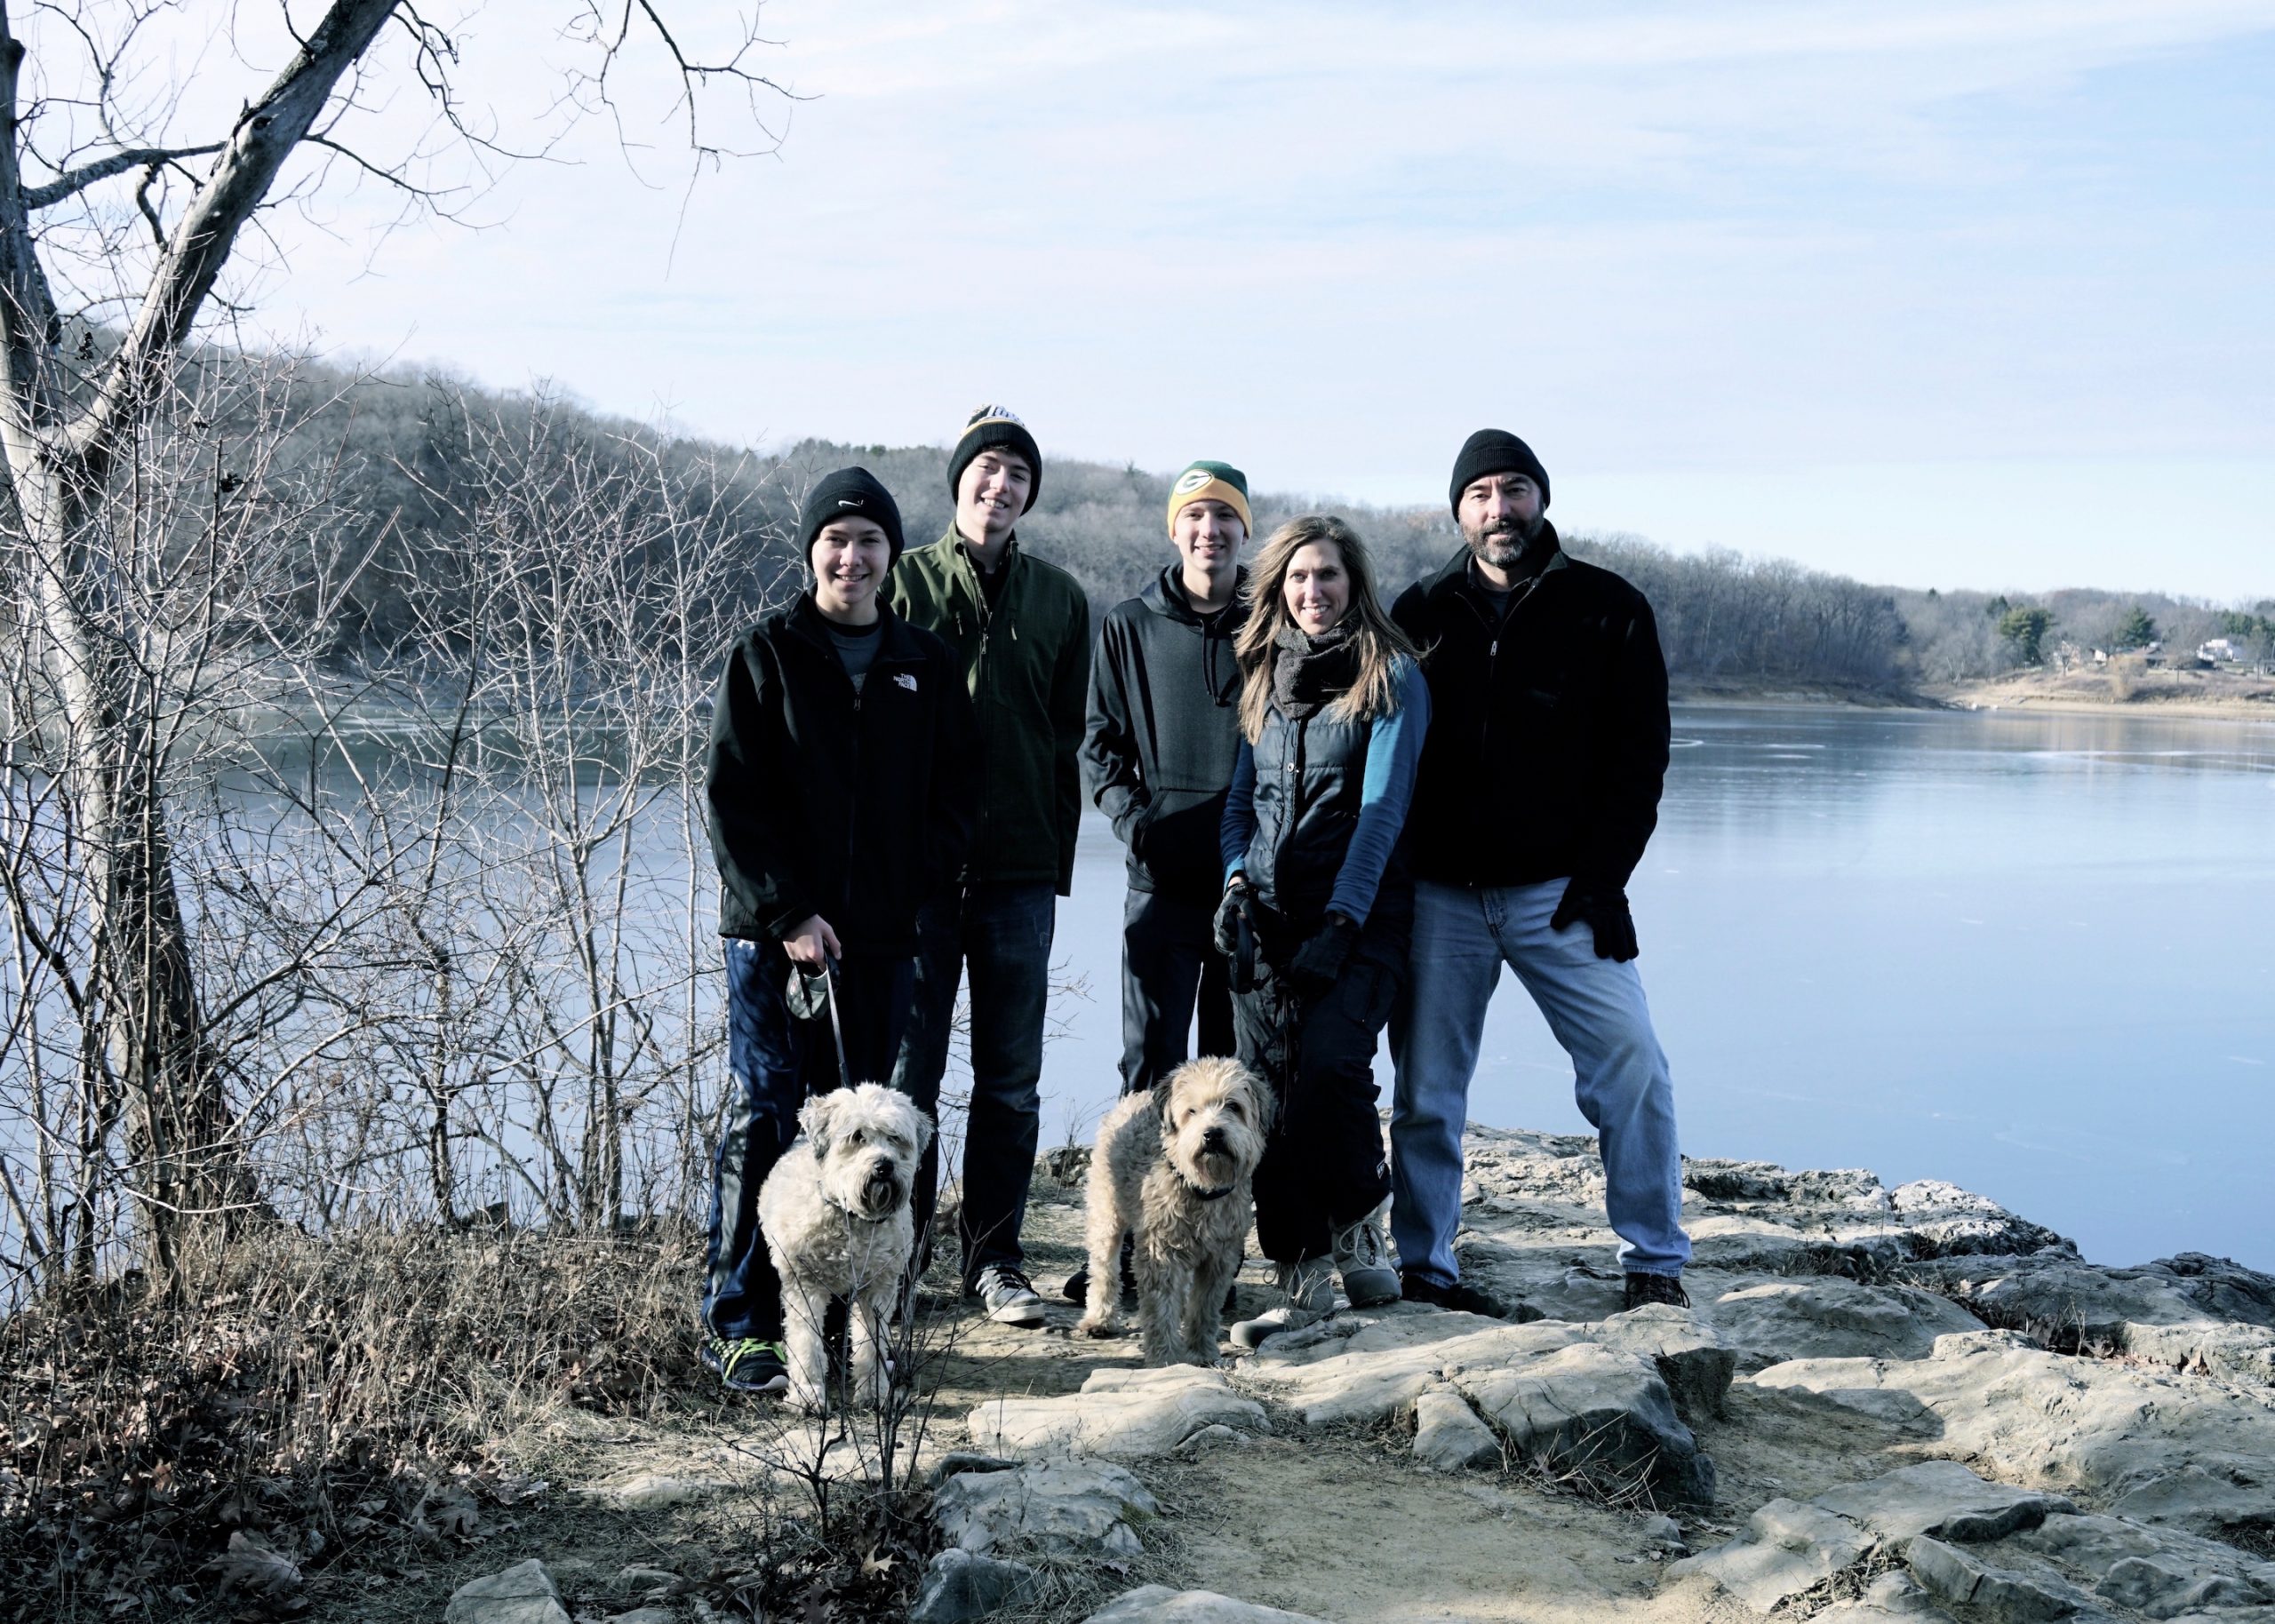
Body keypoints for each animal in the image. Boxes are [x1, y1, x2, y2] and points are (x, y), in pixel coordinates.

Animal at [754, 1082, 932, 1410]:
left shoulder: (878, 1287)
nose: (883, 1165)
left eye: (895, 1137)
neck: (851, 1218)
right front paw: (809, 1395)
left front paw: (874, 1392)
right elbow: (806, 1343)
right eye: (858, 1136)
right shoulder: (805, 1285)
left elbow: (872, 1344)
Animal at [1074, 1055, 1273, 1355]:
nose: (1213, 1134)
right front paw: (1166, 1356)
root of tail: (1136, 1095)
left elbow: (1204, 1307)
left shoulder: (1220, 1257)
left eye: (1233, 1106)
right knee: (1104, 1269)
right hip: (1106, 1211)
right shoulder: (1160, 1252)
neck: (1201, 1188)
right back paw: (1100, 1318)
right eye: (1192, 1110)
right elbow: (1161, 1308)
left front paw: (1202, 1351)